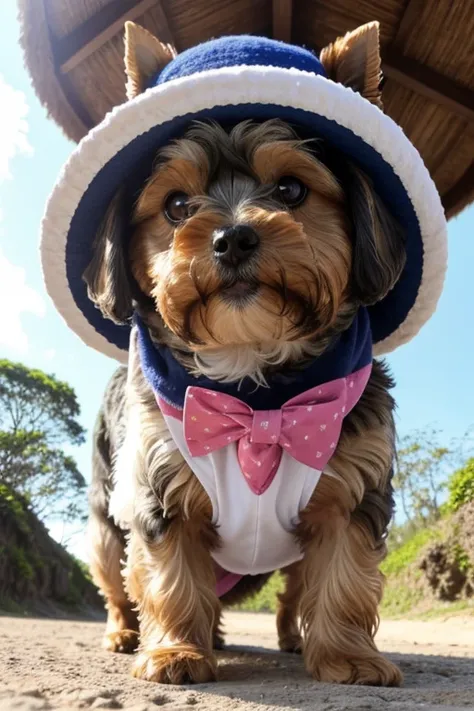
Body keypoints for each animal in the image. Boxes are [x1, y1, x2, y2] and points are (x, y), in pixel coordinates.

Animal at [84, 23, 404, 688]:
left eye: (291, 189)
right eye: (177, 205)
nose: (232, 237)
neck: (254, 387)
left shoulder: (350, 488)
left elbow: (343, 579)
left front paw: (350, 657)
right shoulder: (158, 483)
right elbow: (170, 574)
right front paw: (176, 651)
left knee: (293, 589)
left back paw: (289, 638)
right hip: (105, 515)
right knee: (117, 578)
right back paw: (126, 634)